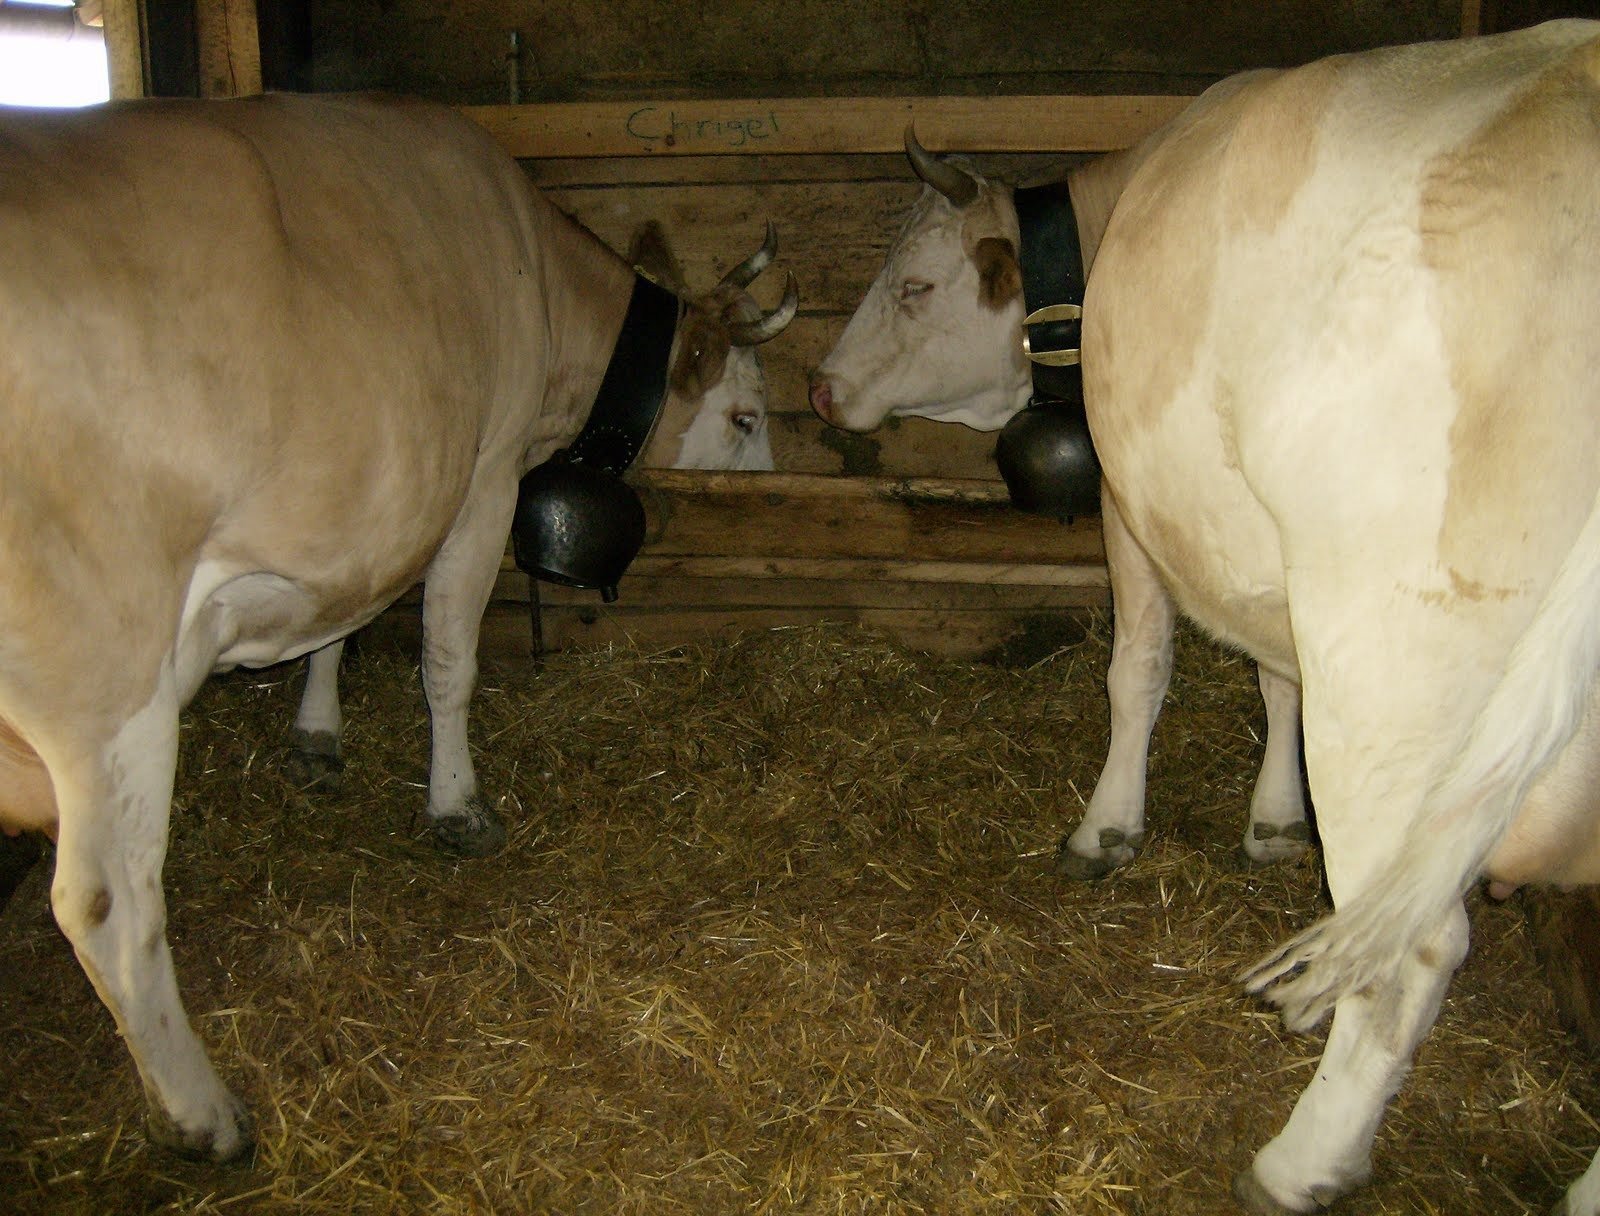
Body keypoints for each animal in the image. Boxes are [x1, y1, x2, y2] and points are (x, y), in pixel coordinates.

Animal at [809, 20, 1600, 1214]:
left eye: (914, 284)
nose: (819, 388)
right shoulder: (1257, 547)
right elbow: (1275, 676)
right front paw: (1272, 818)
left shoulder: (1134, 504)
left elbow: (1137, 671)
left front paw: (1105, 827)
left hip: (1391, 676)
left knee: (1413, 949)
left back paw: (1300, 1159)